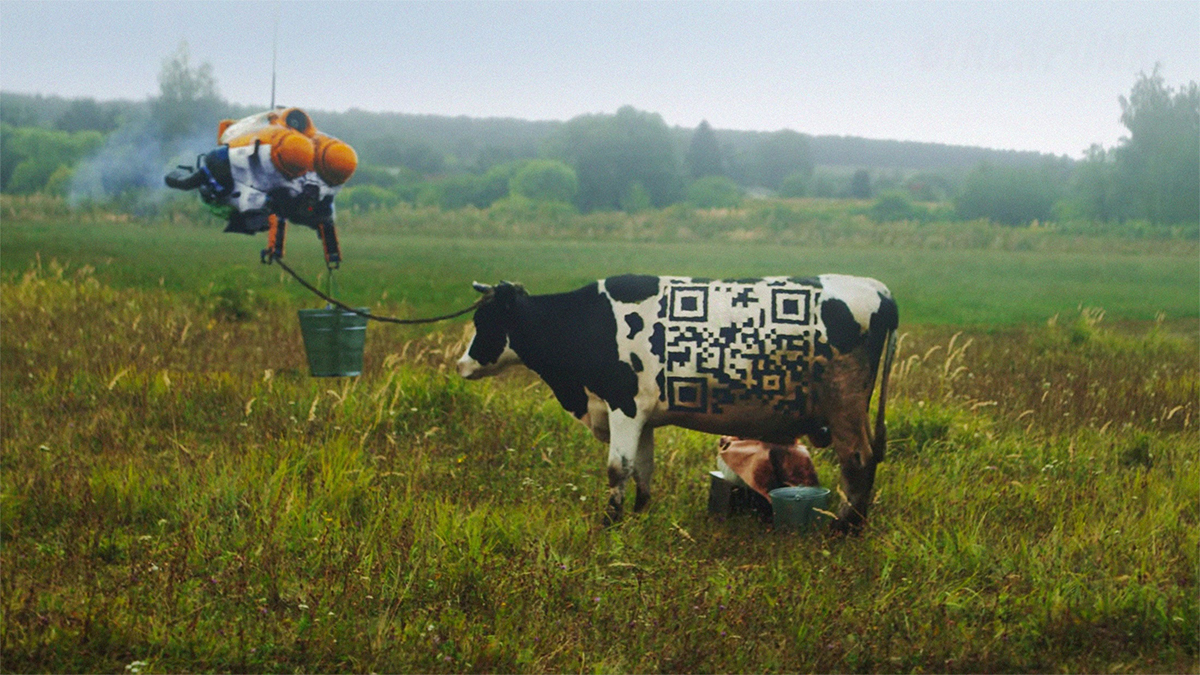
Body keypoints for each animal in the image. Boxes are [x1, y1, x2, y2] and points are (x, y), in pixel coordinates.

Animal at [458, 273, 902, 530]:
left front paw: (609, 522)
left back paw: (845, 528)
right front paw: (638, 516)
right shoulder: (642, 415)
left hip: (844, 404)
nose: (461, 364)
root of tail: (879, 289)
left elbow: (617, 469)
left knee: (858, 461)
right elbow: (643, 469)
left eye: (484, 321)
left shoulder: (623, 405)